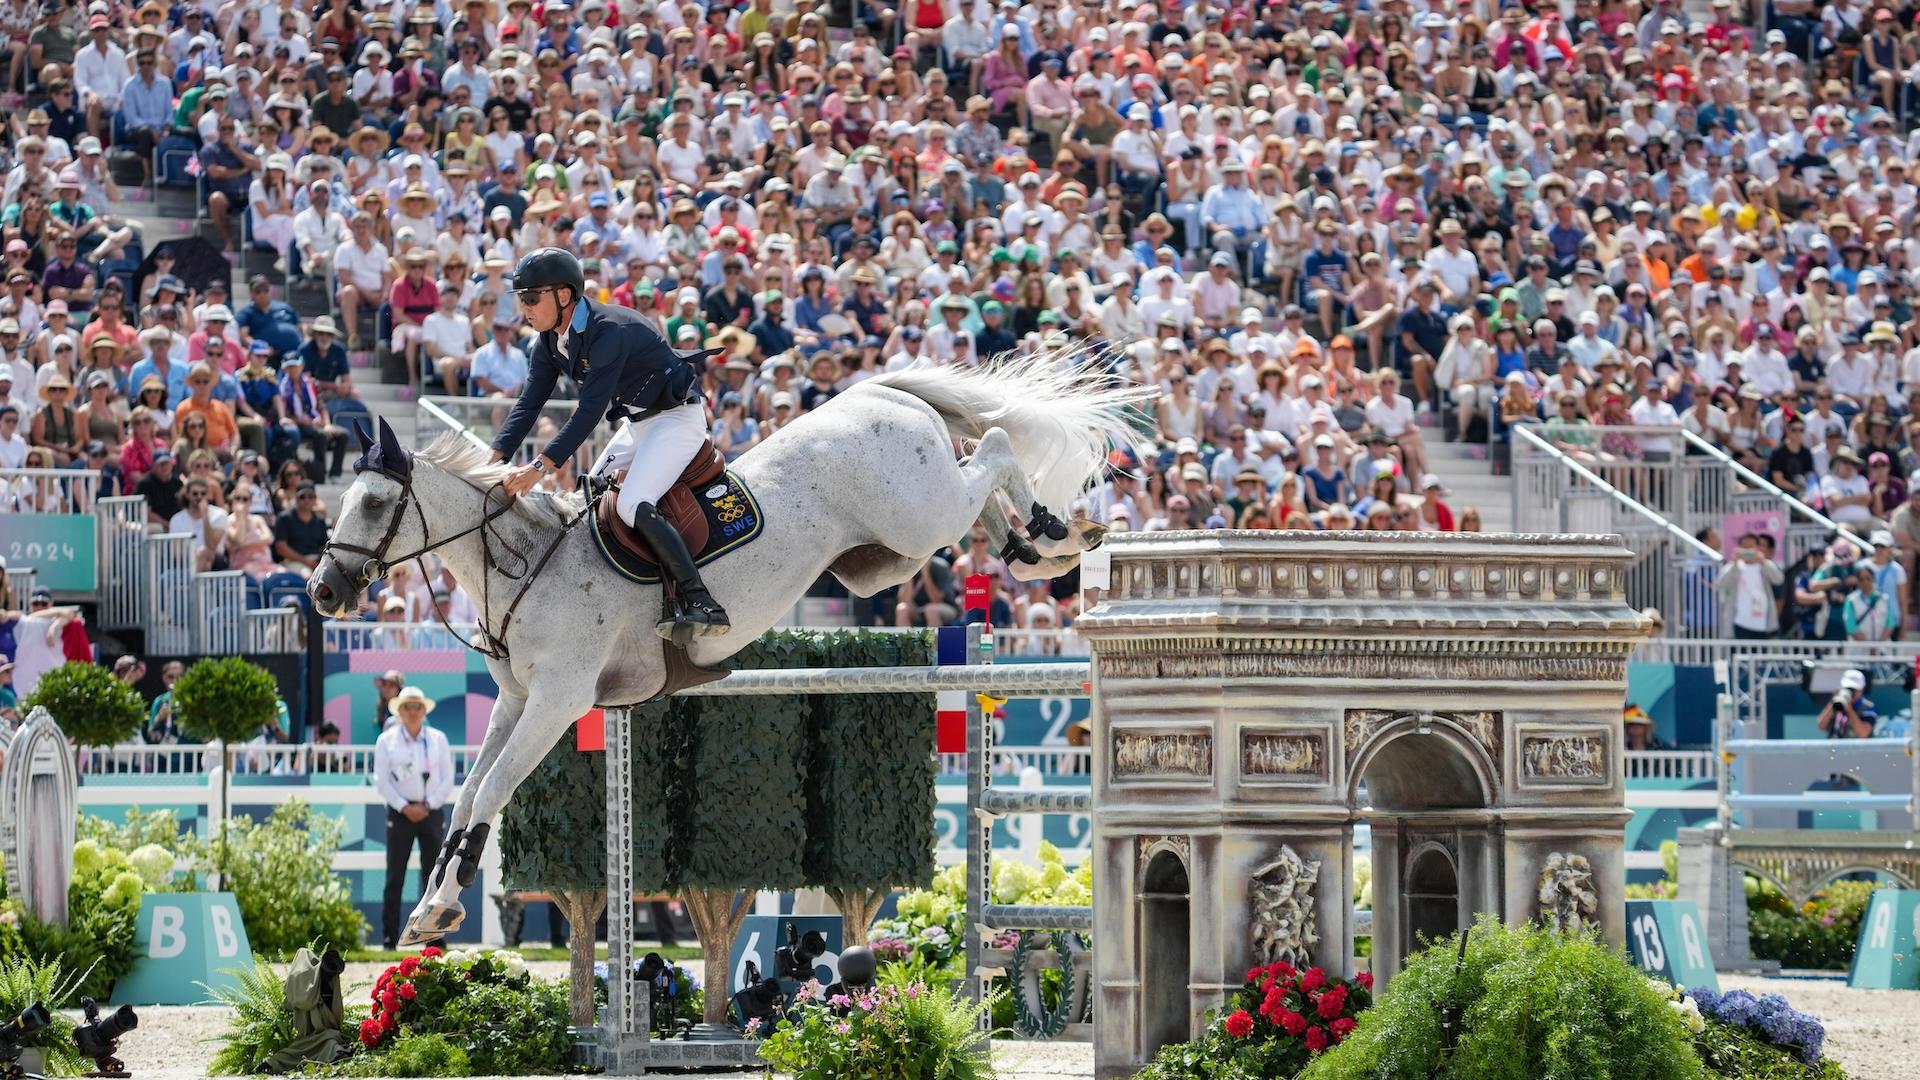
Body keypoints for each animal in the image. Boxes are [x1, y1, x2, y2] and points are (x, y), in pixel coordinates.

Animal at [307, 349, 1144, 937]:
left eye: (374, 502)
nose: (322, 593)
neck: (527, 564)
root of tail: (878, 392)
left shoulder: (557, 702)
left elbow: (490, 793)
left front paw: (438, 912)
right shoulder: (515, 702)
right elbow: (464, 798)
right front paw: (431, 911)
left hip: (917, 517)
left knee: (996, 445)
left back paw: (1058, 535)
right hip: (890, 559)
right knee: (982, 476)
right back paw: (1034, 550)